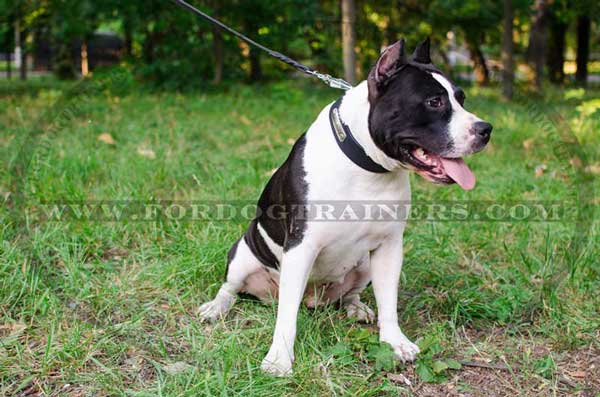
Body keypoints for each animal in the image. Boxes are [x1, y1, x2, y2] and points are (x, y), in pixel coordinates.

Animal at [199, 38, 490, 376]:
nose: (486, 129)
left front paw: (395, 342)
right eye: (434, 102)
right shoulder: (301, 248)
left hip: (363, 264)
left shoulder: (390, 246)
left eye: (461, 98)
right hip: (242, 255)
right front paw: (279, 358)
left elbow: (388, 301)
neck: (368, 165)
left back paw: (357, 308)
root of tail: (313, 300)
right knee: (231, 288)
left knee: (351, 293)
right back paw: (215, 308)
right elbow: (286, 315)